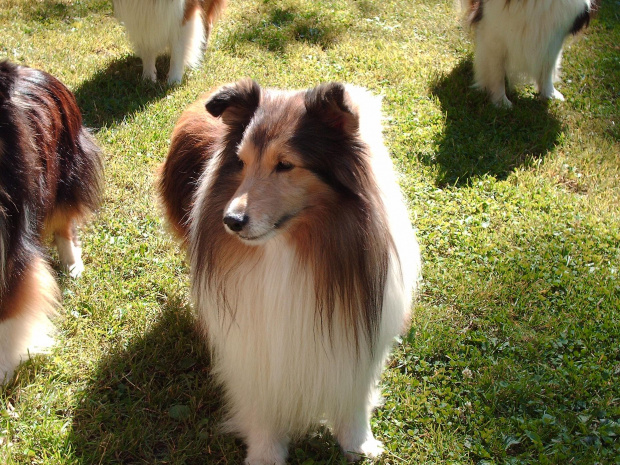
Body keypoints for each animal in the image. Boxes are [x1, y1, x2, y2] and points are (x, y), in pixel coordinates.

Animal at [157, 80, 424, 464]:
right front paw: (265, 455)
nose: (231, 221)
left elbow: (354, 396)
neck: (287, 249)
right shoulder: (255, 344)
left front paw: (359, 444)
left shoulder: (358, 335)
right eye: (241, 162)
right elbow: (263, 405)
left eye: (285, 164)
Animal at [464, 0, 596, 106]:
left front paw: (550, 94)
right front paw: (501, 102)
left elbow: (548, 67)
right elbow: (496, 73)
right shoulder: (493, 34)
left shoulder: (553, 37)